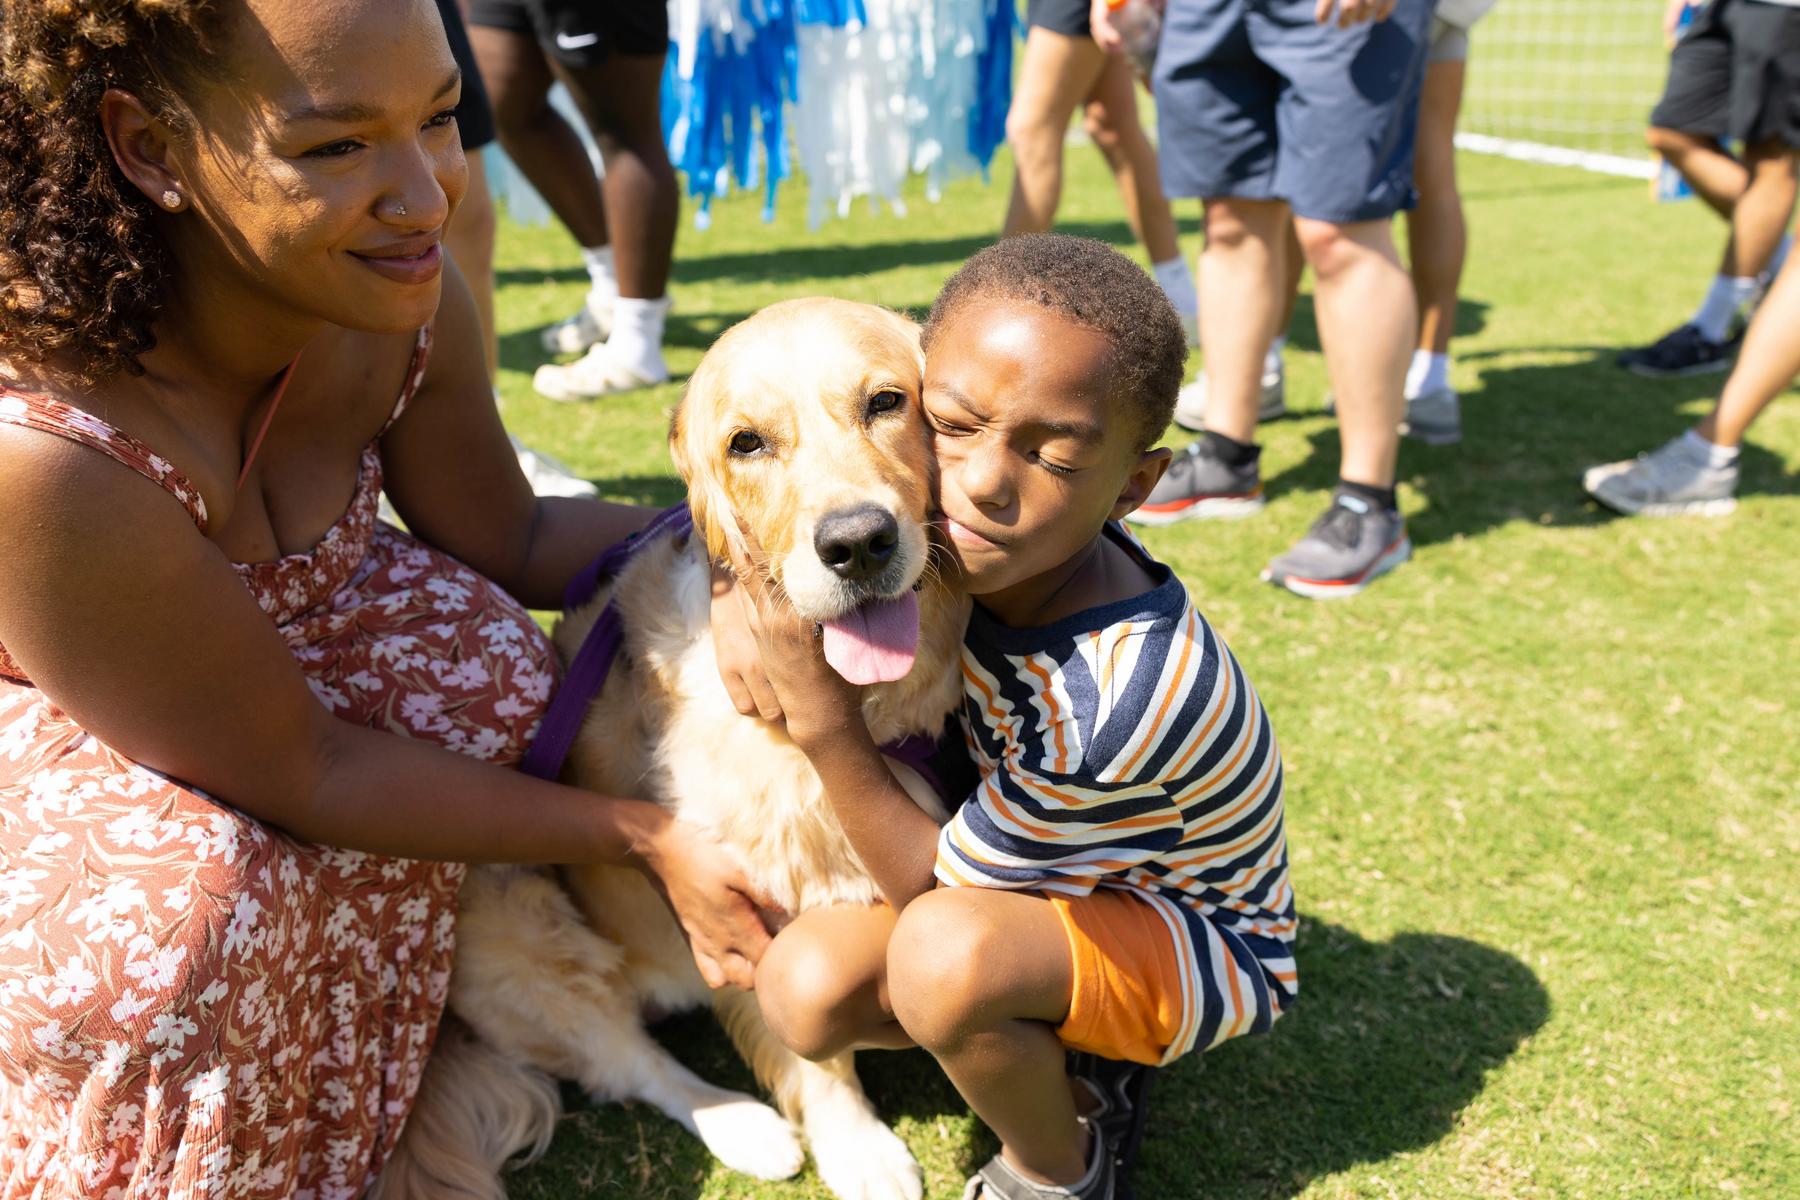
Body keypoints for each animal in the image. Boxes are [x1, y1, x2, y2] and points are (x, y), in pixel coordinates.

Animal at [379, 300, 972, 1200]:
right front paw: (860, 1151)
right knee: (625, 1062)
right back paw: (742, 1127)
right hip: (508, 919)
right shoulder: (757, 902)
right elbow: (815, 1058)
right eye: (746, 443)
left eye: (886, 402)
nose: (857, 543)